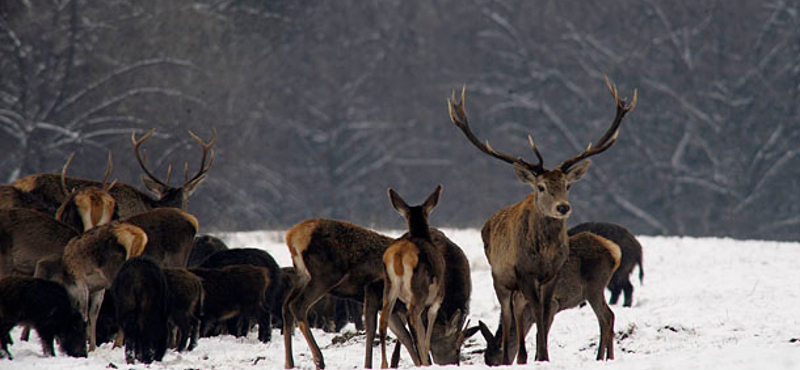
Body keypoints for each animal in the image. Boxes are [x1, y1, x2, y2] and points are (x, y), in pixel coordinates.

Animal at [478, 231, 620, 364]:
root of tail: (615, 252)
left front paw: (539, 359)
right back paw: (610, 357)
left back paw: (599, 357)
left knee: (605, 318)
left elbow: (541, 333)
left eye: (494, 361)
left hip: (594, 287)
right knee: (611, 315)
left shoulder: (552, 304)